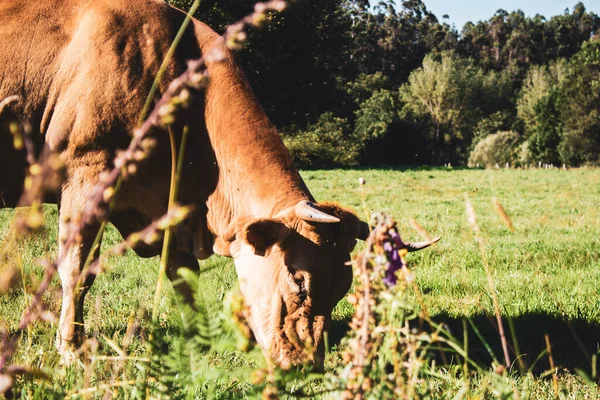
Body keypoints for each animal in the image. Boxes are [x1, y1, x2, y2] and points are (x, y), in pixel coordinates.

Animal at [0, 0, 436, 368]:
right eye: (298, 279)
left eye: (343, 286)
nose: (305, 364)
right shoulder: (87, 174)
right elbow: (77, 270)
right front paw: (71, 350)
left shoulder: (170, 210)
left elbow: (184, 275)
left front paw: (200, 341)